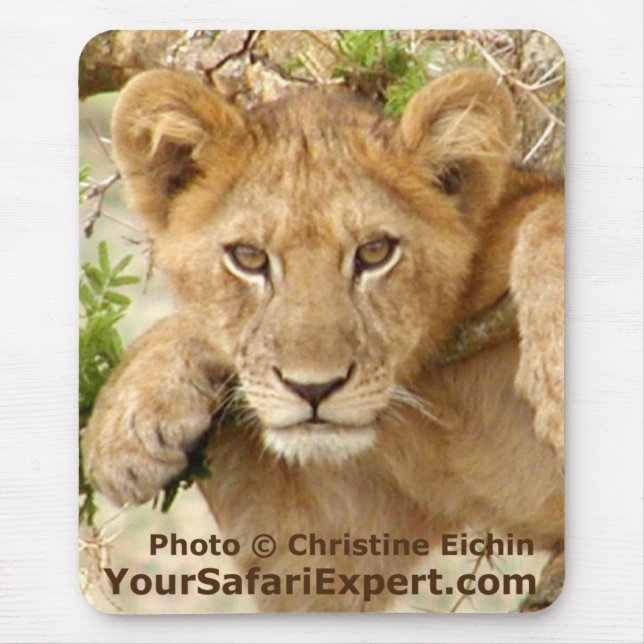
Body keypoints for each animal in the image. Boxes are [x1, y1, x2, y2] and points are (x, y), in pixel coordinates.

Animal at [82, 68, 564, 612]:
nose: (313, 389)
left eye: (375, 252)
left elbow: (550, 216)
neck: (435, 392)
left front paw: (557, 379)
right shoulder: (337, 536)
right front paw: (125, 421)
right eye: (248, 257)